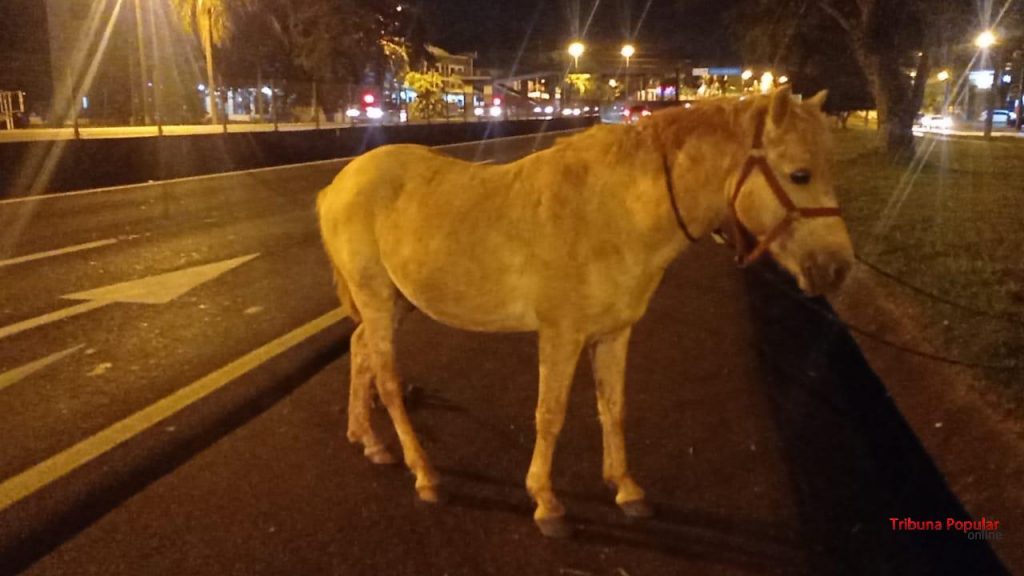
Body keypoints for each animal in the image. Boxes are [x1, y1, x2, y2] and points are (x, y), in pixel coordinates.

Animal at [316, 86, 854, 538]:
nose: (838, 268)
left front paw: (626, 488)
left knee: (360, 351)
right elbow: (550, 414)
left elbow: (612, 408)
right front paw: (546, 502)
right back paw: (425, 474)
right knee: (388, 381)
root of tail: (336, 186)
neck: (615, 210)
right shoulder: (561, 333)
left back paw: (369, 440)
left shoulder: (614, 333)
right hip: (377, 299)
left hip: (396, 302)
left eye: (832, 169)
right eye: (800, 174)